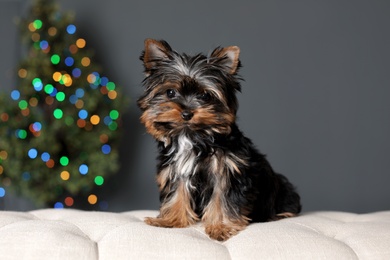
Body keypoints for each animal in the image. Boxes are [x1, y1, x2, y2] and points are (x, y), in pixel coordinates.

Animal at [138, 39, 302, 242]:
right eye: (170, 92)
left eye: (205, 95)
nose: (187, 113)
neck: (193, 136)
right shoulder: (177, 169)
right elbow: (177, 194)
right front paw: (170, 220)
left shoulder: (228, 171)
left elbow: (222, 199)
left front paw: (221, 227)